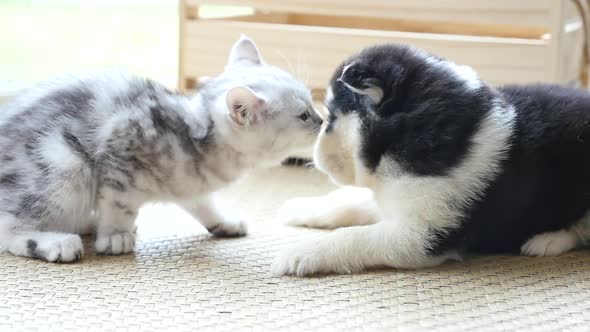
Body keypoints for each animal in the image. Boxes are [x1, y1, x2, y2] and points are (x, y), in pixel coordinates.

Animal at [0, 36, 322, 264]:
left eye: (311, 103)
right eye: (304, 115)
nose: (323, 119)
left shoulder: (191, 185)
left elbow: (204, 203)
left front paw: (223, 222)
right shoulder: (120, 153)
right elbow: (119, 204)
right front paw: (115, 235)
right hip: (64, 163)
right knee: (8, 228)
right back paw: (57, 242)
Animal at [276, 42, 590, 276]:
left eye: (330, 116)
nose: (313, 155)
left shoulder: (423, 233)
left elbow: (354, 237)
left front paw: (301, 252)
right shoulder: (397, 195)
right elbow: (351, 202)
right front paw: (301, 207)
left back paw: (546, 240)